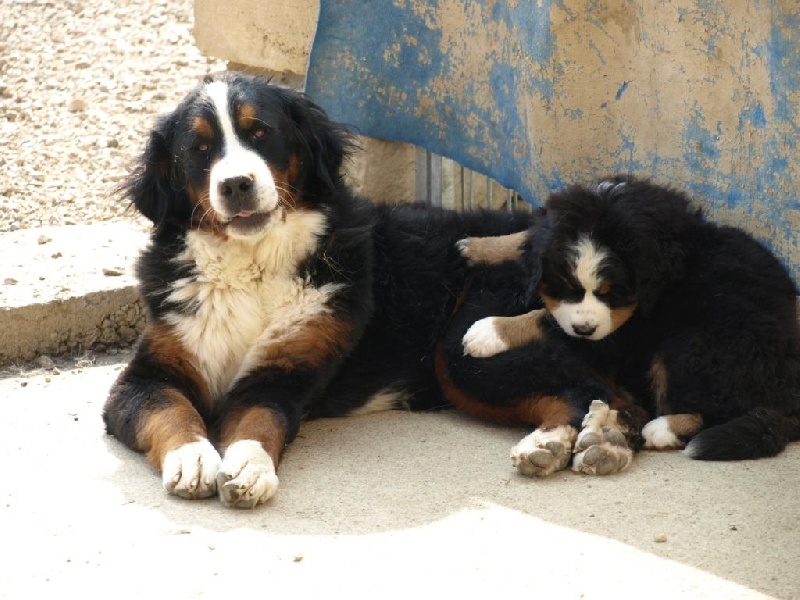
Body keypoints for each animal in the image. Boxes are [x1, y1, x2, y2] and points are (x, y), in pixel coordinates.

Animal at [101, 72, 536, 508]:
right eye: (200, 148)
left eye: (261, 132)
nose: (236, 184)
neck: (252, 268)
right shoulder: (148, 376)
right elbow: (171, 410)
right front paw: (192, 459)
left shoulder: (284, 371)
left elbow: (259, 418)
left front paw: (249, 467)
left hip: (463, 354)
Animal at [444, 175, 800, 478]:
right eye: (565, 286)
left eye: (612, 293)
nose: (584, 330)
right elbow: (533, 234)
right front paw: (477, 246)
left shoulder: (625, 326)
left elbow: (545, 319)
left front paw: (487, 332)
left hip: (691, 346)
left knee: (714, 408)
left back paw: (660, 430)